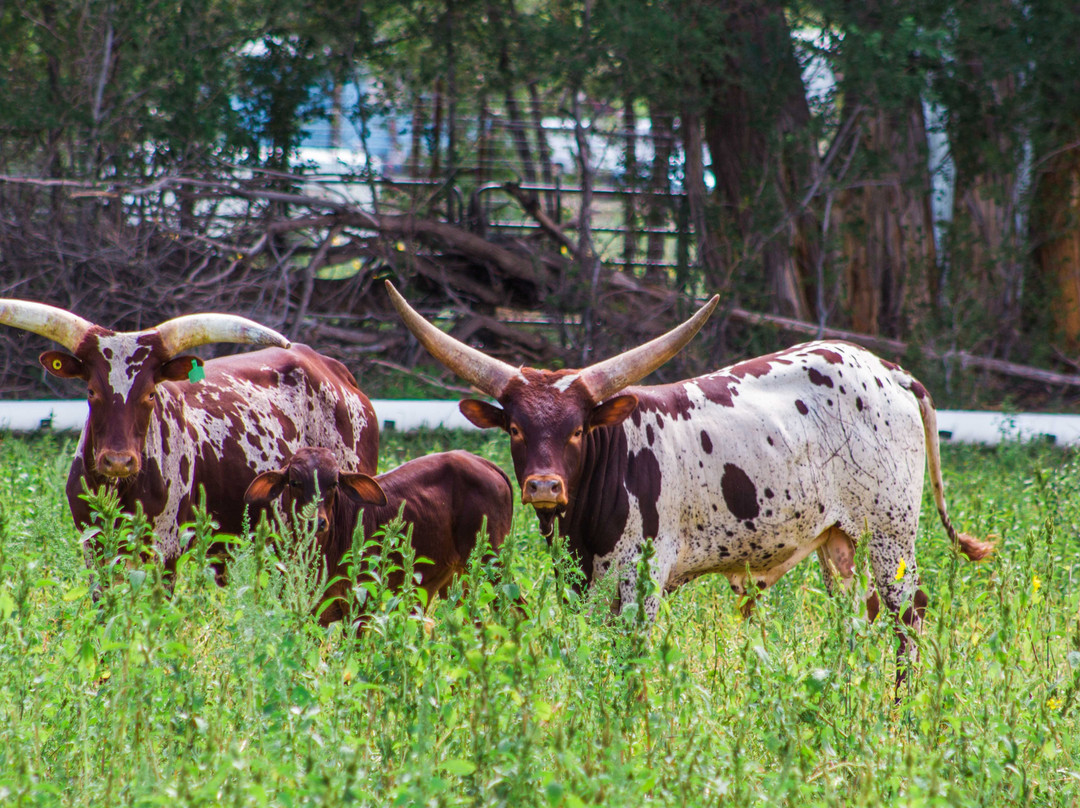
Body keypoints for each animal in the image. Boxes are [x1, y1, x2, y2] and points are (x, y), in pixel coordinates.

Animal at [0, 302, 380, 574]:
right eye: (91, 391)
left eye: (150, 393)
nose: (118, 461)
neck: (120, 489)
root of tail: (330, 367)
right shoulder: (93, 547)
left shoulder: (165, 548)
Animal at [245, 445, 514, 622]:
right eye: (294, 482)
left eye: (333, 483)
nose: (316, 522)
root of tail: (486, 463)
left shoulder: (361, 605)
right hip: (456, 577)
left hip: (492, 565)